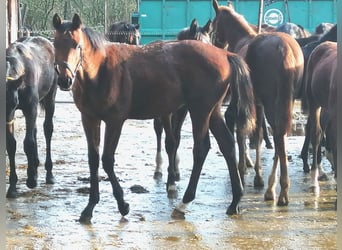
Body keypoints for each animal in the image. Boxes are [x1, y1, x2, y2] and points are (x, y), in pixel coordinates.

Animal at [5, 36, 57, 198]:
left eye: (12, 102)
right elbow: (11, 144)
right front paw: (12, 187)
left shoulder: (30, 109)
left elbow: (28, 143)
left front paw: (31, 180)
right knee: (34, 130)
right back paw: (35, 165)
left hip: (50, 98)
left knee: (47, 130)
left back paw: (48, 174)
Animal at [52, 13, 256, 223]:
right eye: (55, 43)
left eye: (77, 45)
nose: (64, 80)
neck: (100, 71)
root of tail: (225, 55)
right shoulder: (89, 118)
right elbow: (93, 160)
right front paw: (89, 208)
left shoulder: (115, 121)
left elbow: (107, 159)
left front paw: (123, 205)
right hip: (213, 111)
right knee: (227, 144)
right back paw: (234, 202)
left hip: (200, 111)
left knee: (201, 149)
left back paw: (184, 203)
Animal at [211, 0, 304, 207]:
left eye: (213, 25)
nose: (217, 45)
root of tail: (284, 49)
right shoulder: (258, 102)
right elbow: (259, 133)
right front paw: (256, 173)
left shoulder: (243, 100)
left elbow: (241, 129)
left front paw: (244, 168)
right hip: (284, 100)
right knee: (280, 135)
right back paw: (276, 187)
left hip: (271, 101)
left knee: (278, 135)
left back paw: (277, 189)